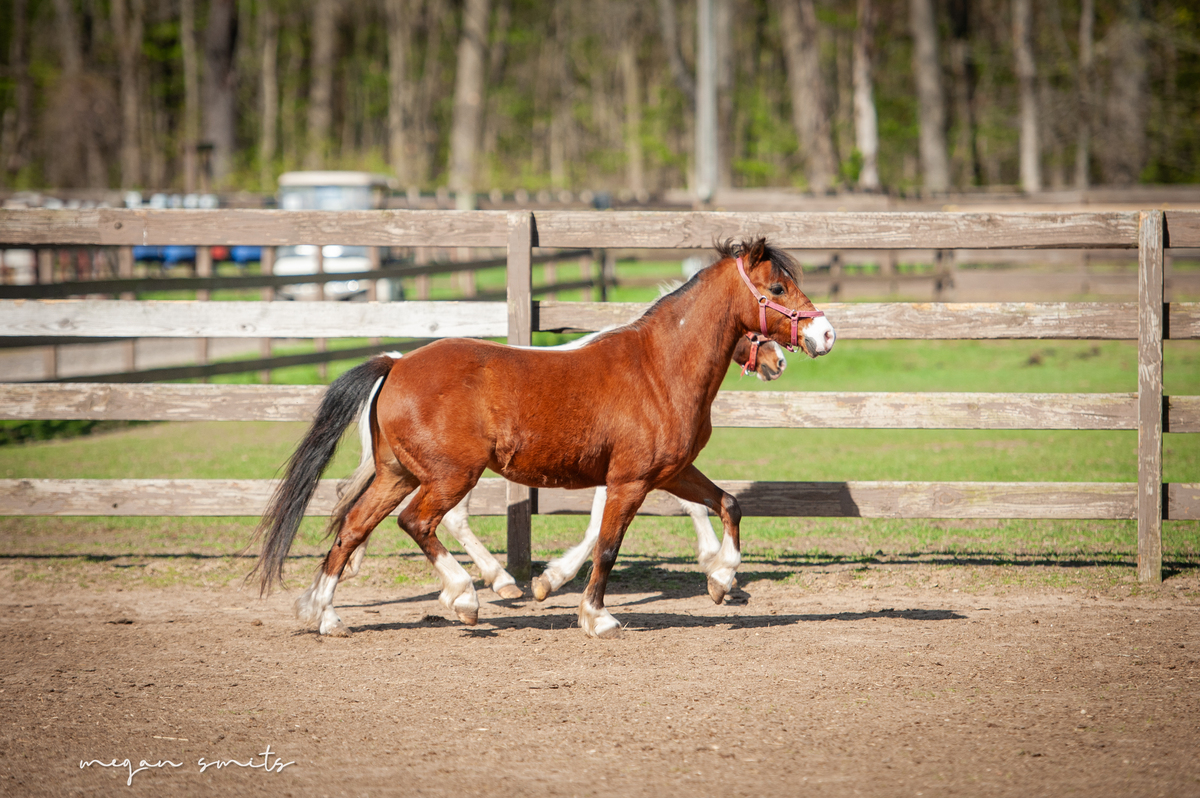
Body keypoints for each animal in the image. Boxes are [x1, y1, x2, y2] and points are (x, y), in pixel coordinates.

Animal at [333, 329, 789, 601]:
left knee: (363, 512)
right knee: (435, 519)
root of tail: (396, 363)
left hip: (415, 472)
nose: (779, 361)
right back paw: (493, 583)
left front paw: (718, 569)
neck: (654, 369)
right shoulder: (627, 475)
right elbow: (602, 531)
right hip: (453, 474)